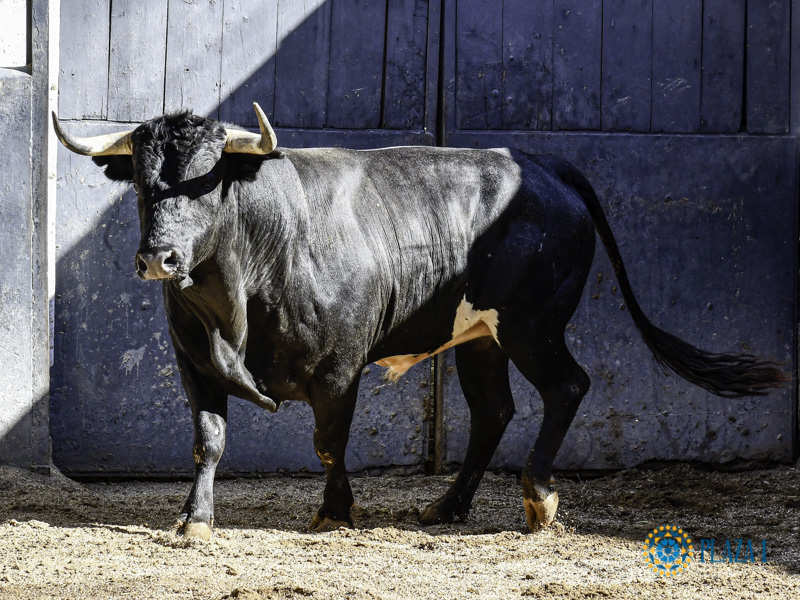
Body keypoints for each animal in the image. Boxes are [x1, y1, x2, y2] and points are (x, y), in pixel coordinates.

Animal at [52, 104, 785, 540]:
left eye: (208, 181)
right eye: (141, 184)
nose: (159, 258)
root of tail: (541, 162)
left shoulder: (340, 368)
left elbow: (328, 443)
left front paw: (335, 511)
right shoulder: (194, 361)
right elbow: (208, 440)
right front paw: (195, 519)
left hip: (532, 325)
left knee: (567, 387)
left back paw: (538, 497)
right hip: (481, 339)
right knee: (494, 411)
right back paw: (450, 505)